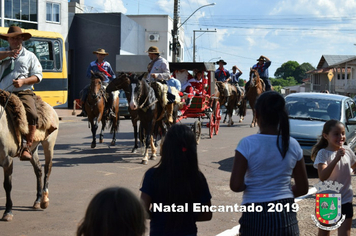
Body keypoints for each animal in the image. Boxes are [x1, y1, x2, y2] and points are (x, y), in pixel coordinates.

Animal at [0, 91, 59, 220]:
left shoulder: (7, 160)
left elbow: (7, 185)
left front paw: (8, 212)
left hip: (48, 144)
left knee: (48, 168)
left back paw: (44, 200)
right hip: (32, 149)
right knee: (38, 169)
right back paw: (37, 200)